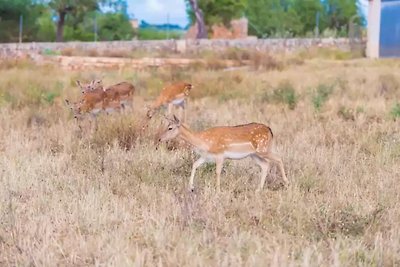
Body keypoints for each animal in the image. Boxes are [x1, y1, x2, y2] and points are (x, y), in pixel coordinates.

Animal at [158, 115, 290, 193]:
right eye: (164, 125)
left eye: (170, 127)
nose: (159, 138)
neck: (203, 142)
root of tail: (270, 130)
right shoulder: (206, 156)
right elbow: (194, 164)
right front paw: (191, 187)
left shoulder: (220, 155)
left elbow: (217, 172)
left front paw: (218, 190)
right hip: (254, 155)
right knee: (265, 165)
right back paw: (258, 189)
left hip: (263, 149)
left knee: (278, 158)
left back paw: (286, 183)